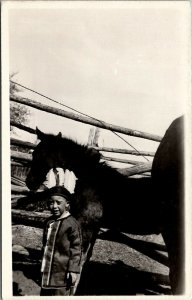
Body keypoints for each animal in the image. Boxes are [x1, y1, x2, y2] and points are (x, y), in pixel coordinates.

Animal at [25, 116, 184, 294]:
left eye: (38, 154)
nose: (29, 182)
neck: (92, 181)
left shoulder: (86, 224)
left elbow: (79, 260)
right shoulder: (94, 226)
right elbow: (85, 259)